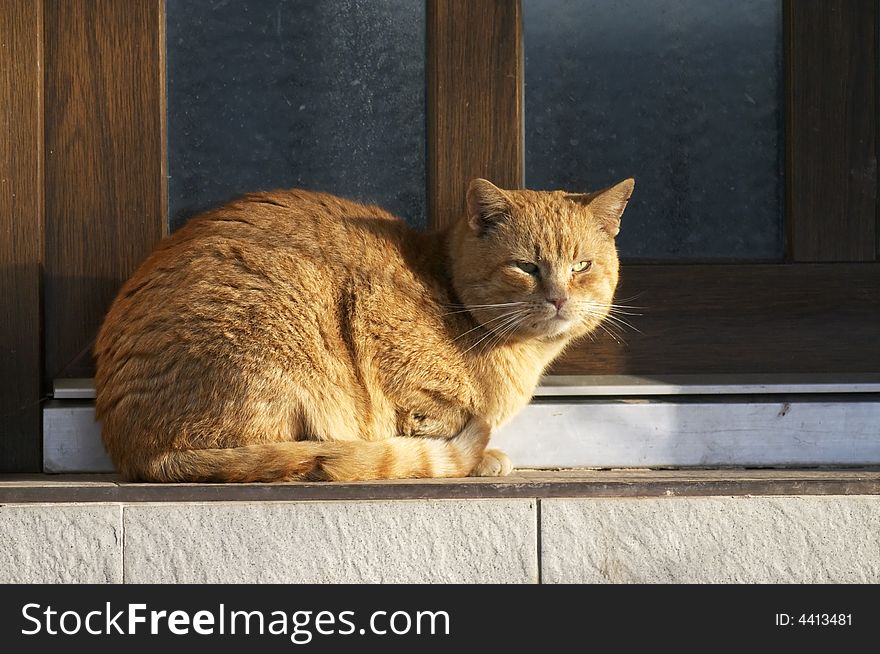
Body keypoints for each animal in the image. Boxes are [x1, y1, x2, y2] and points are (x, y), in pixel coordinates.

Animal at [94, 178, 632, 482]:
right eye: (526, 267)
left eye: (581, 266)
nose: (559, 298)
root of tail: (138, 452)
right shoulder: (400, 373)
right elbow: (445, 420)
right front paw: (482, 455)